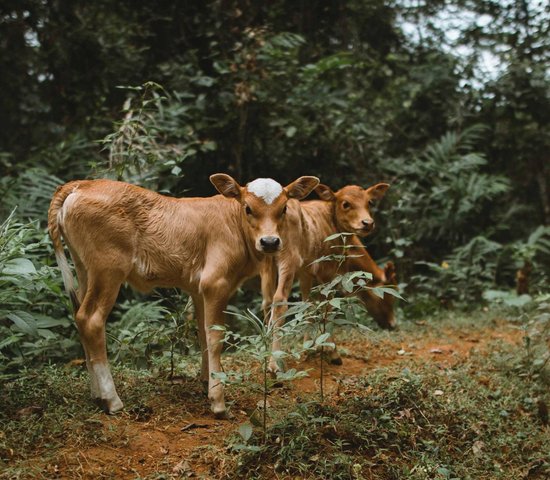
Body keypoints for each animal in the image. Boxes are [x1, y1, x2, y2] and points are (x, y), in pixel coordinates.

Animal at [50, 174, 324, 418]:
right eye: (248, 208)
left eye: (284, 208)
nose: (269, 242)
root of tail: (81, 184)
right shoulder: (215, 283)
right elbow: (215, 337)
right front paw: (218, 401)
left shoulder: (198, 288)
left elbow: (203, 334)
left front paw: (206, 381)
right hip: (108, 271)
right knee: (91, 320)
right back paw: (111, 399)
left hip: (85, 270)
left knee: (79, 317)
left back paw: (96, 395)